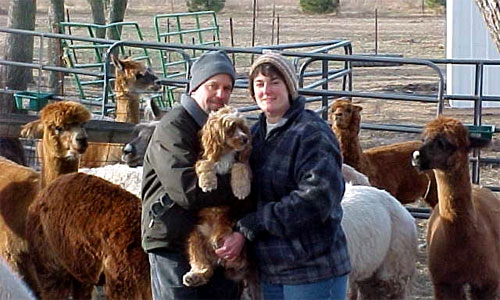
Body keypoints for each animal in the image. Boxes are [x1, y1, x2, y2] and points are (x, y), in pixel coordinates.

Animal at [182, 105, 252, 286]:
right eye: (230, 128)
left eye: (243, 127)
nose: (245, 139)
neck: (225, 153)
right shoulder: (201, 159)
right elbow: (205, 163)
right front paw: (208, 183)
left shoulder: (245, 165)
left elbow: (240, 167)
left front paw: (241, 189)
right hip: (195, 236)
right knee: (204, 266)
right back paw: (194, 276)